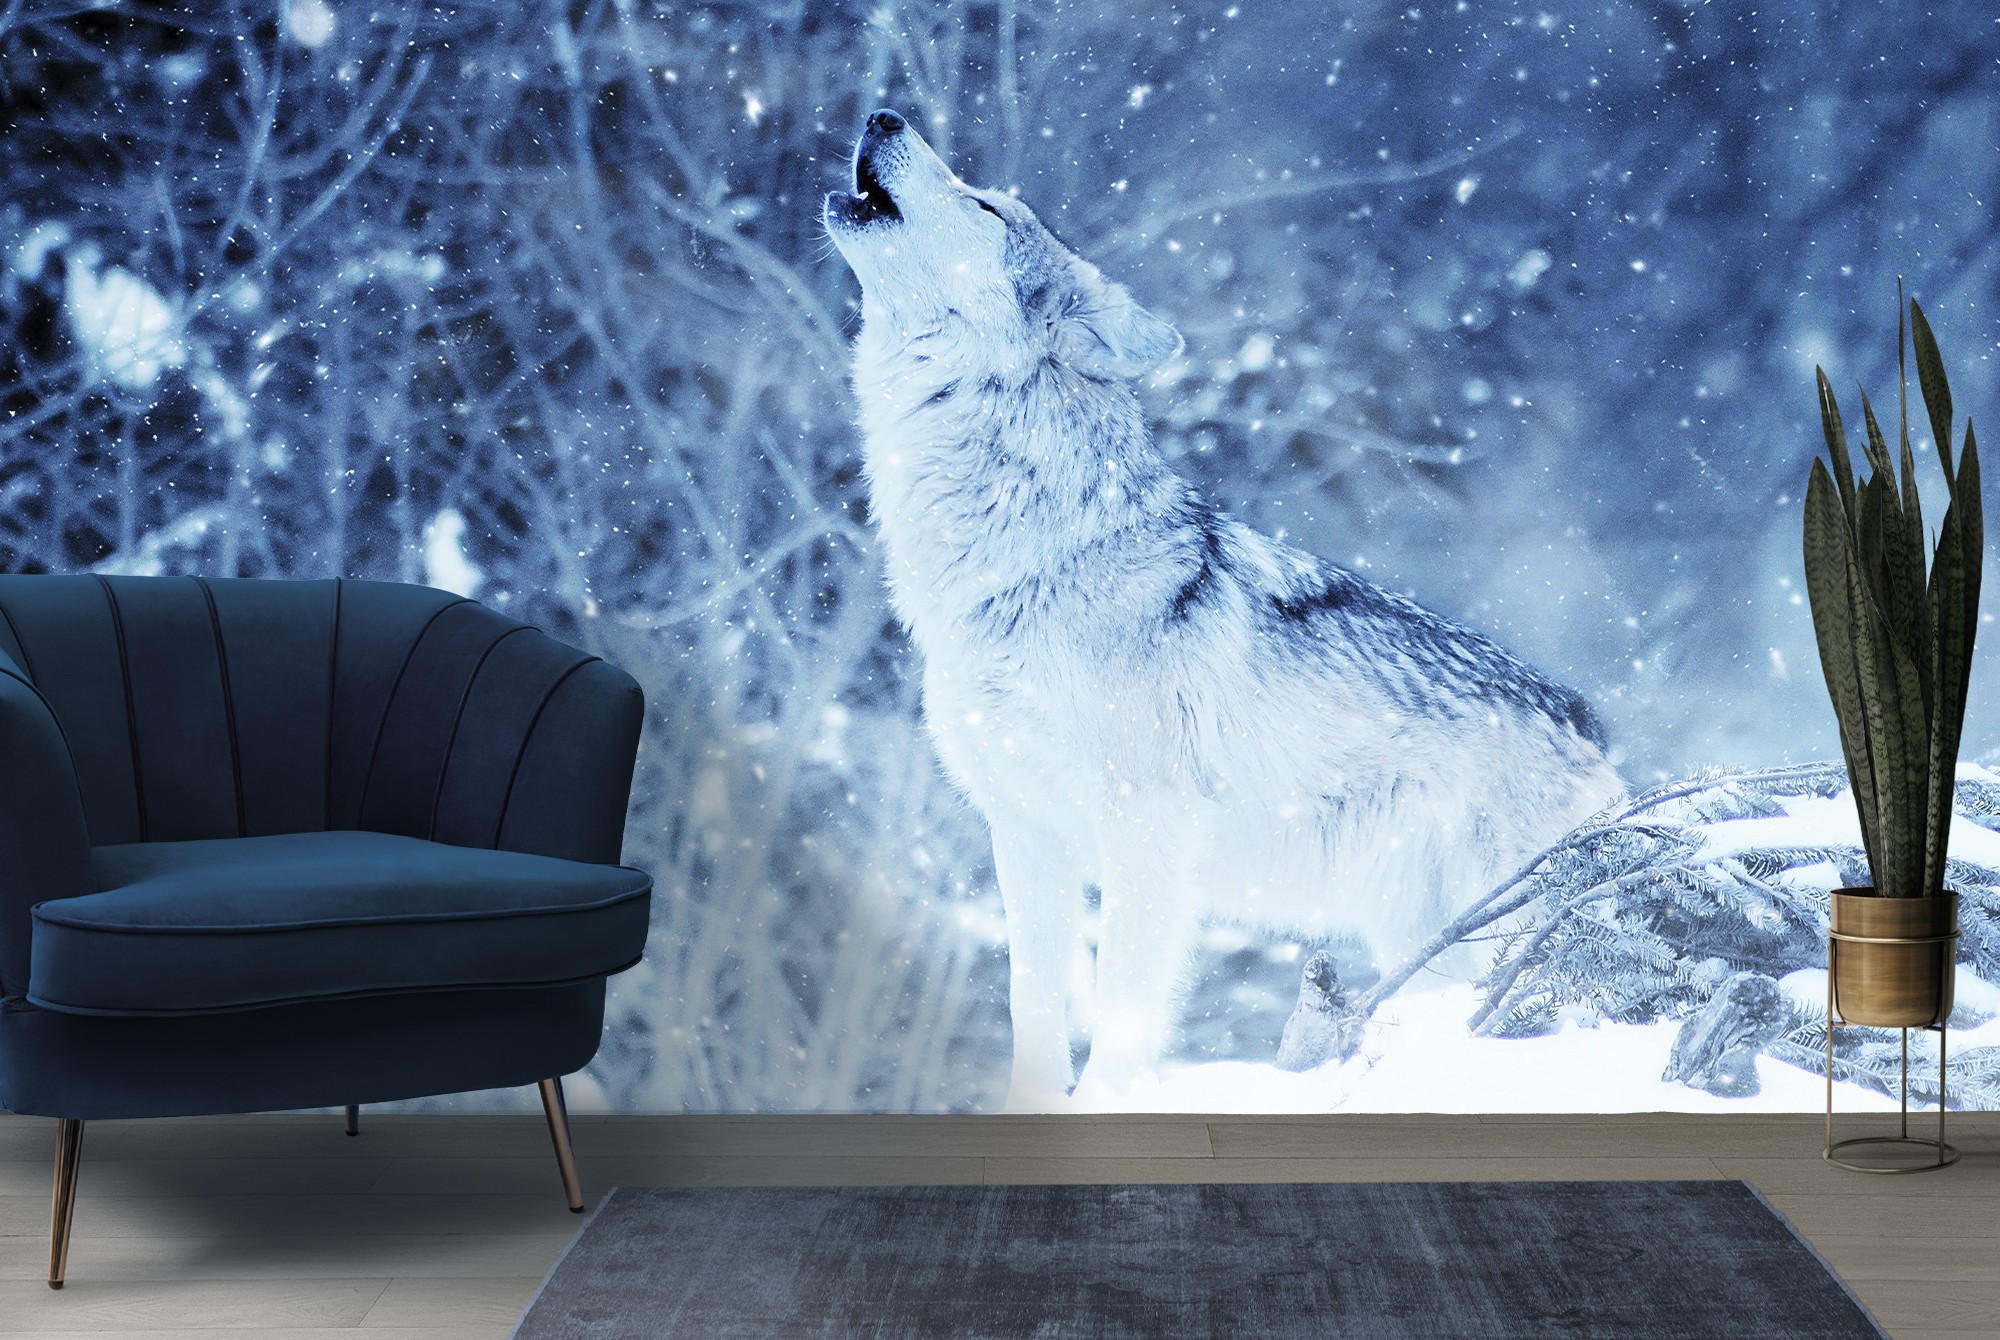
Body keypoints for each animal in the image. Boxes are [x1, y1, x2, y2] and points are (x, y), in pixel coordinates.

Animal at [824, 109, 1626, 1107]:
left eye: (985, 206)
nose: (884, 115)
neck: (1026, 559)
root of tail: (1591, 723)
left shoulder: (1145, 837)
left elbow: (1123, 1017)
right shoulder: (1026, 836)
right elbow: (1032, 1007)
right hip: (1423, 939)